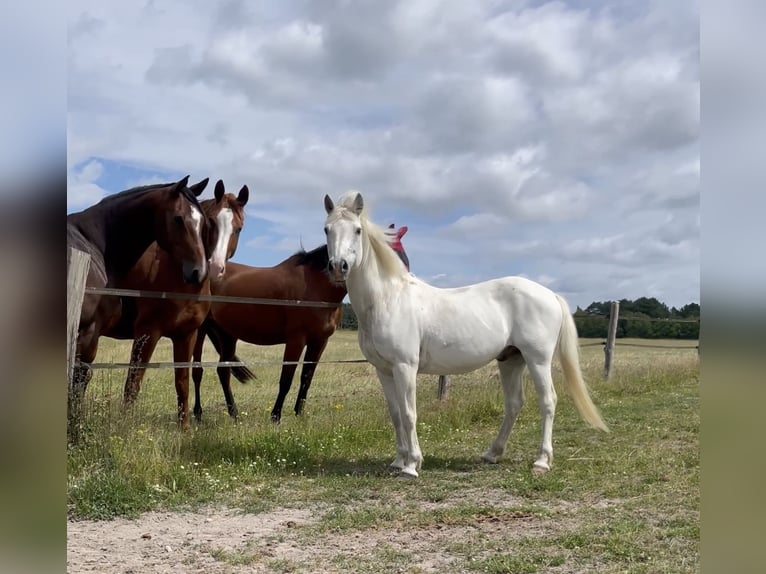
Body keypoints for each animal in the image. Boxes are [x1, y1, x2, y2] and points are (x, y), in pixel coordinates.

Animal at [103, 182, 249, 430]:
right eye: (211, 222)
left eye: (238, 229)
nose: (213, 267)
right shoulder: (147, 333)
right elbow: (133, 383)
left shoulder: (187, 334)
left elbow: (183, 383)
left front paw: (186, 430)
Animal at [190, 230, 412, 424]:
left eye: (406, 260)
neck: (316, 287)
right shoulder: (296, 340)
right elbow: (286, 378)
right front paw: (276, 417)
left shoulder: (319, 341)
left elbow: (307, 377)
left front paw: (299, 414)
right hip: (200, 331)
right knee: (197, 371)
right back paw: (198, 415)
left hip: (227, 334)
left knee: (223, 372)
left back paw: (234, 414)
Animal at [324, 191, 612, 480]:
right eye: (327, 229)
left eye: (357, 230)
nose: (338, 267)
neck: (387, 299)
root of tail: (550, 294)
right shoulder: (384, 370)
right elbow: (395, 414)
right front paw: (398, 460)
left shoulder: (405, 366)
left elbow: (408, 413)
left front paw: (412, 465)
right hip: (511, 360)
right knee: (514, 403)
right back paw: (492, 453)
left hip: (537, 359)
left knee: (548, 401)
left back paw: (541, 461)